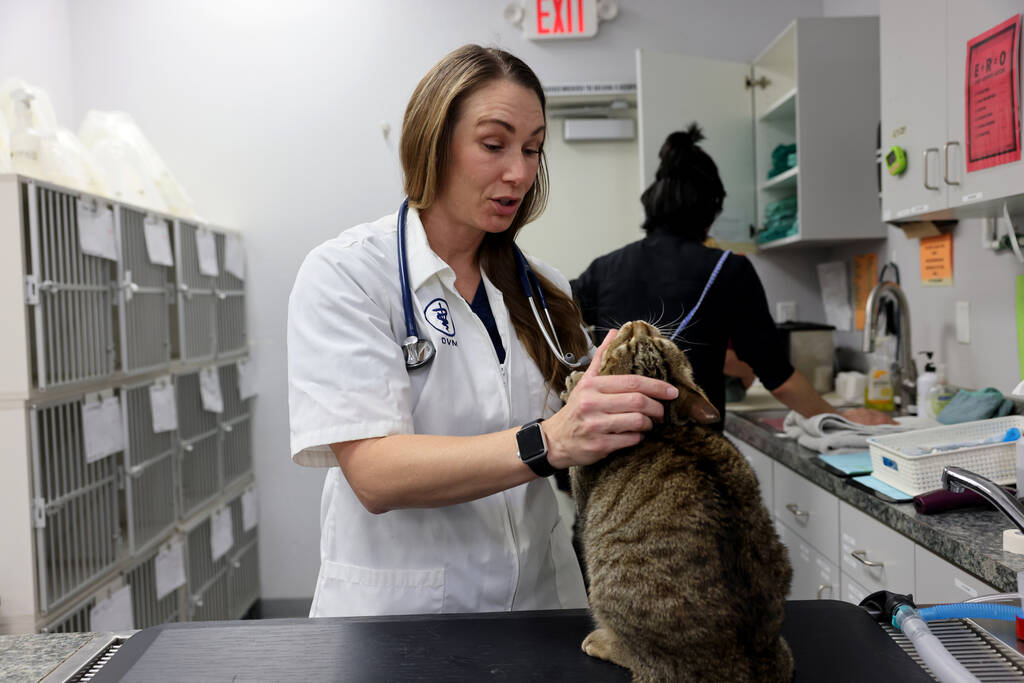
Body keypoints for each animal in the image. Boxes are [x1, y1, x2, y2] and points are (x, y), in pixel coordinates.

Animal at [565, 321, 794, 683]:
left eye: (632, 342)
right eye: (654, 340)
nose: (638, 324)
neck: (661, 428)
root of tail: (744, 665)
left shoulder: (581, 479)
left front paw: (574, 382)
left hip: (608, 593)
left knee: (638, 658)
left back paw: (602, 641)